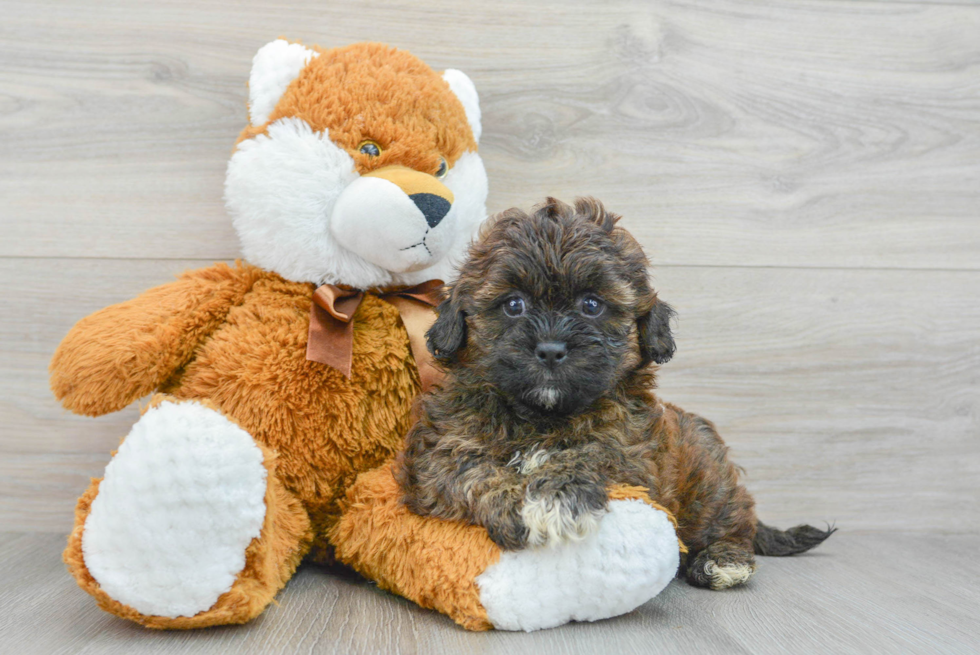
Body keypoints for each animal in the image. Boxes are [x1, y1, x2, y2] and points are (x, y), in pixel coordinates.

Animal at [394, 197, 832, 592]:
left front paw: (557, 494)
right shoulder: (440, 451)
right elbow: (471, 471)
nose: (550, 349)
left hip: (711, 484)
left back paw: (723, 560)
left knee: (735, 522)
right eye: (513, 304)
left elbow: (593, 455)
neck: (542, 415)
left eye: (592, 304)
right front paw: (523, 501)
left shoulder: (632, 453)